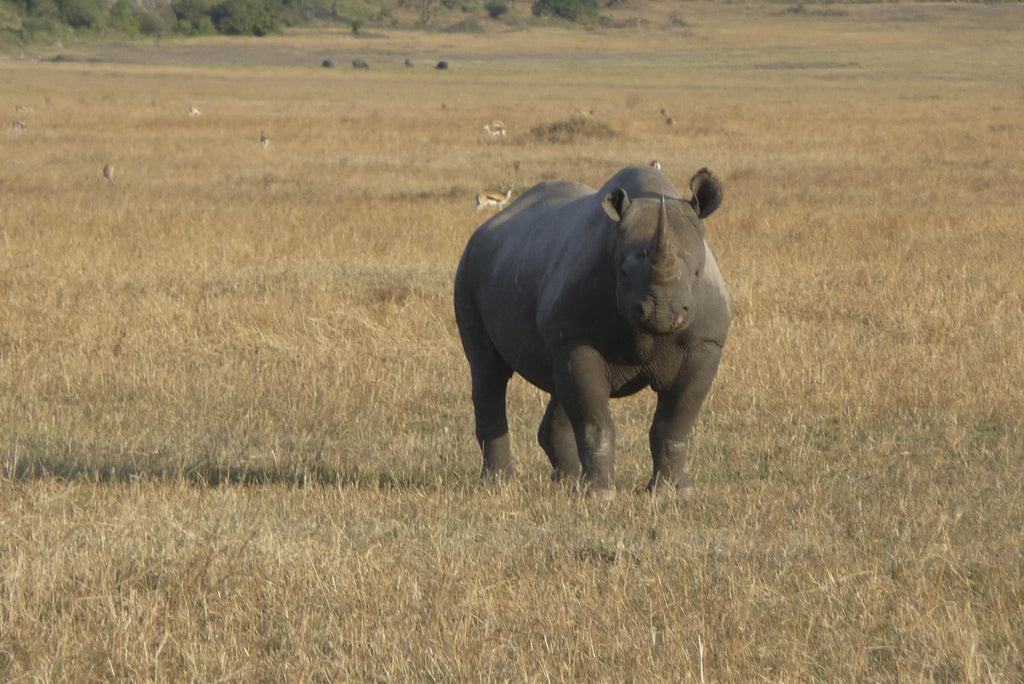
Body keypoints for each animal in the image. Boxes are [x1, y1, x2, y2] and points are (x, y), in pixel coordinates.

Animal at [454, 165, 729, 498]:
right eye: (622, 273)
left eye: (698, 273)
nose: (661, 314)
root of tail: (484, 229)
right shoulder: (578, 340)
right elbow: (594, 420)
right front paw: (600, 495)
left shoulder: (705, 343)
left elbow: (676, 421)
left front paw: (675, 492)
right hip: (468, 268)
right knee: (488, 370)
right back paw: (498, 484)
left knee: (557, 383)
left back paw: (566, 481)